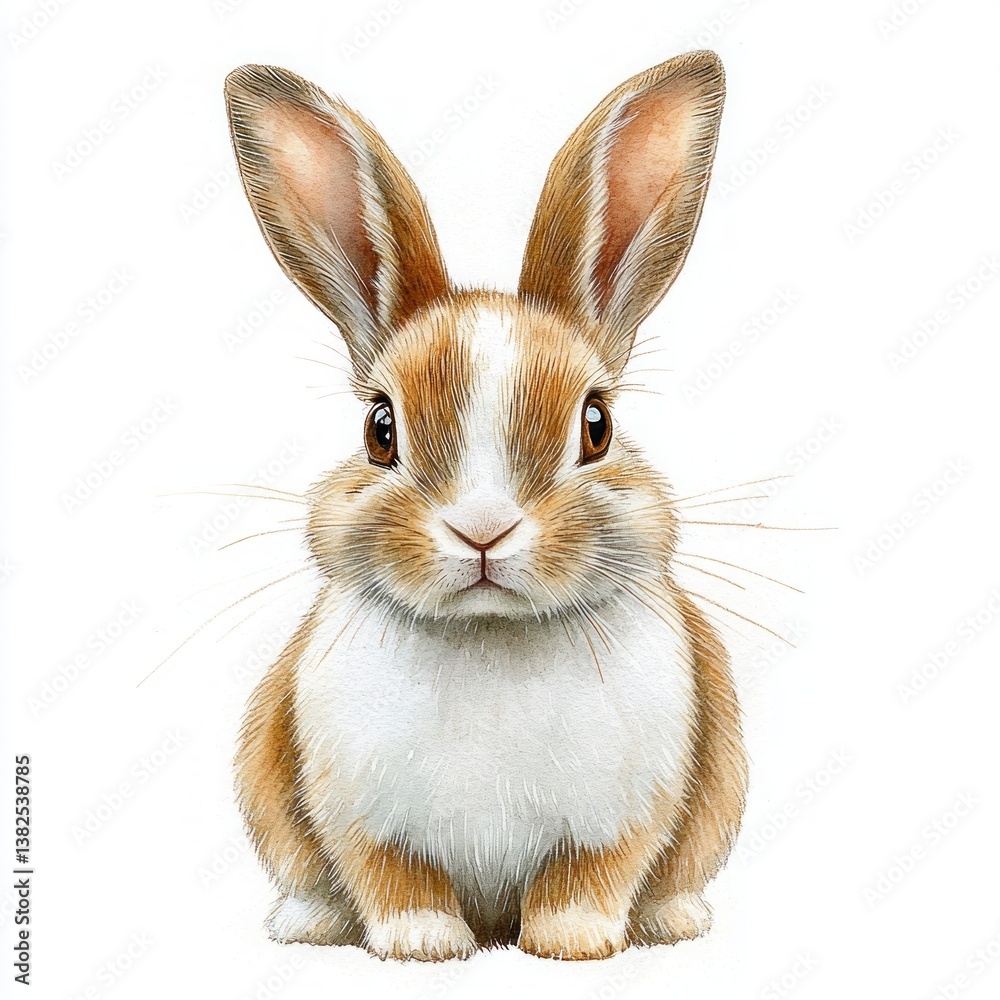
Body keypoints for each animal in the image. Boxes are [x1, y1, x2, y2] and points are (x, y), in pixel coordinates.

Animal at [225, 49, 747, 962]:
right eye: (380, 429)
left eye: (597, 424)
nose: (482, 529)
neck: (489, 638)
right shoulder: (358, 816)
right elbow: (394, 879)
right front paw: (425, 944)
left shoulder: (626, 814)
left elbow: (590, 878)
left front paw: (573, 944)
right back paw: (306, 924)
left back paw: (675, 920)